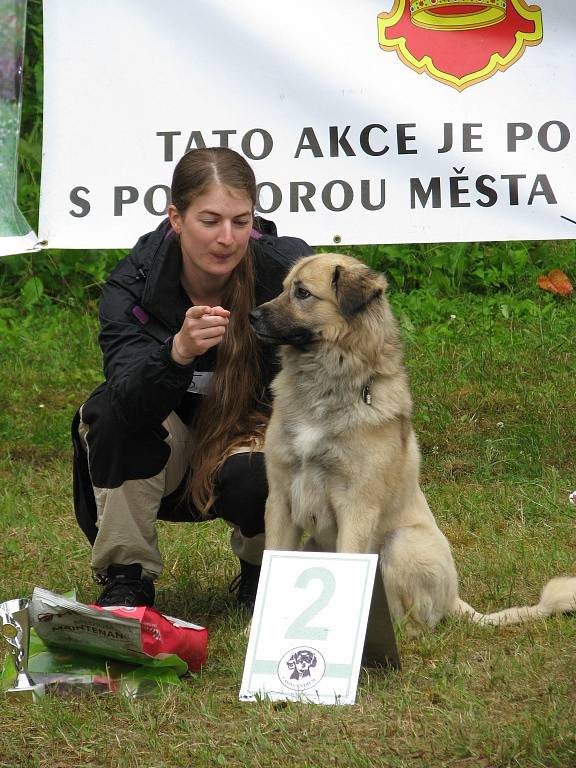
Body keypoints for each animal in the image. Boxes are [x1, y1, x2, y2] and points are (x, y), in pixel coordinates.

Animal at [249, 255, 576, 632]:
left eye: (302, 293)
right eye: (284, 287)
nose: (251, 316)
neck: (325, 386)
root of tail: (454, 598)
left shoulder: (356, 505)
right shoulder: (281, 499)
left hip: (403, 542)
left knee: (415, 622)